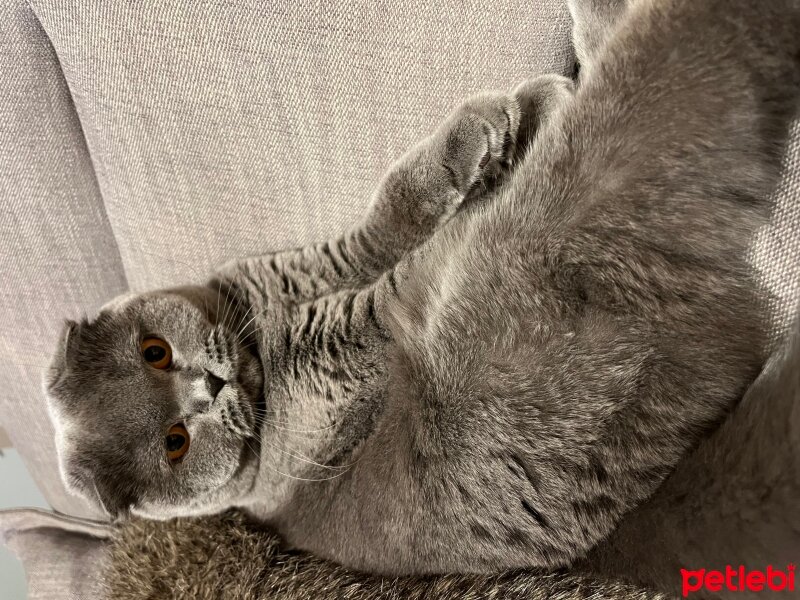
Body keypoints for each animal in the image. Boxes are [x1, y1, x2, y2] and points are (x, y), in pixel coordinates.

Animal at [45, 0, 800, 576]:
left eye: (154, 351)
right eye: (175, 442)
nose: (209, 386)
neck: (268, 337)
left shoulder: (323, 262)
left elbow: (392, 208)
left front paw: (491, 128)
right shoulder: (356, 330)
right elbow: (401, 263)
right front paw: (509, 133)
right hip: (543, 282)